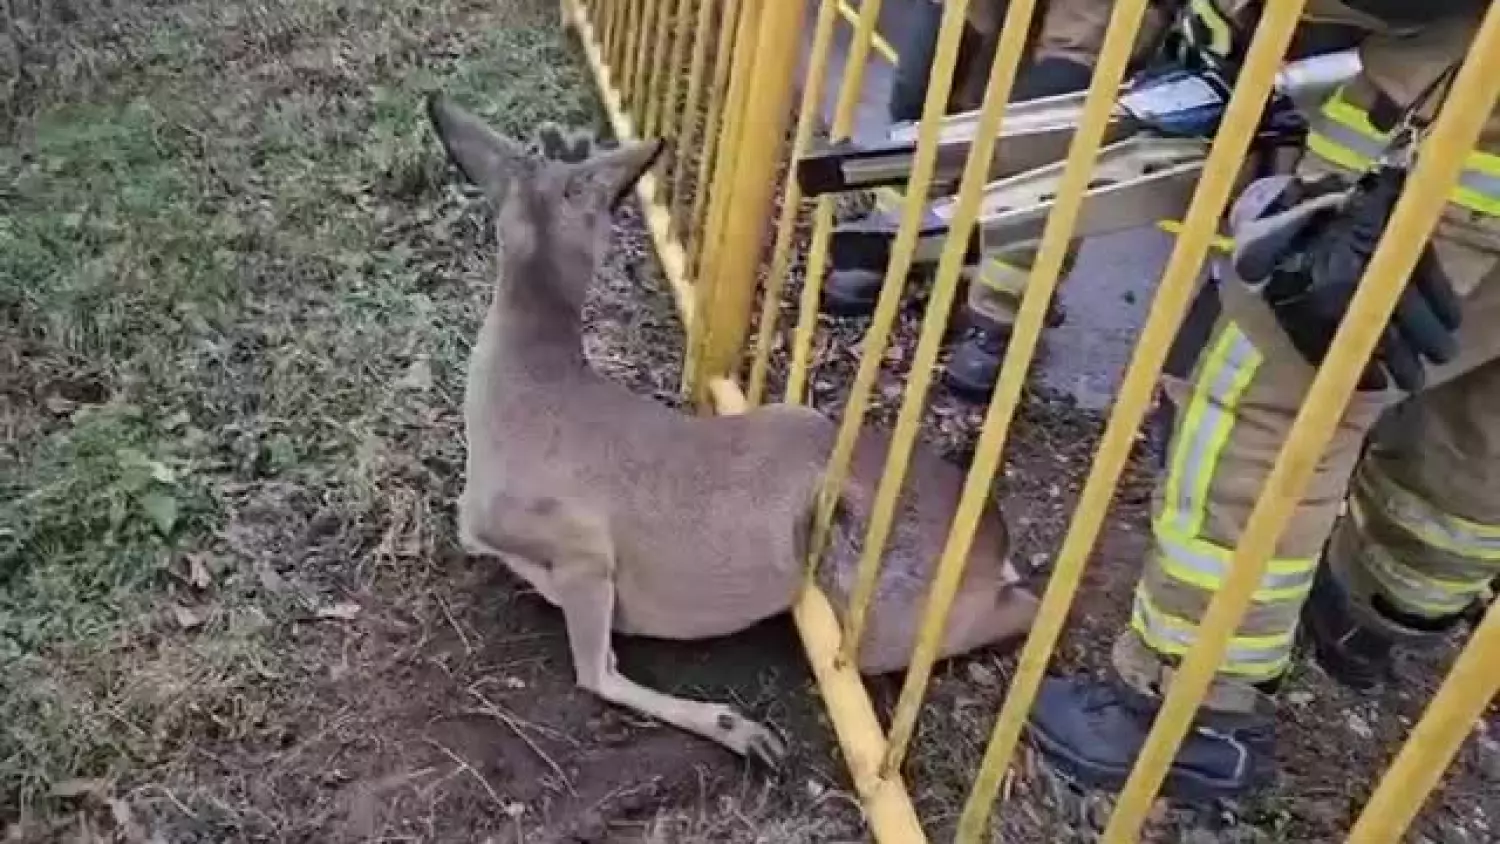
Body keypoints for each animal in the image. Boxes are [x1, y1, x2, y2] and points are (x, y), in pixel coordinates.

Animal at [432, 92, 1044, 767]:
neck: (528, 381)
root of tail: (992, 538)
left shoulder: (582, 545)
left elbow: (598, 670)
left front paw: (741, 728)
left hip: (886, 613)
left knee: (1021, 607)